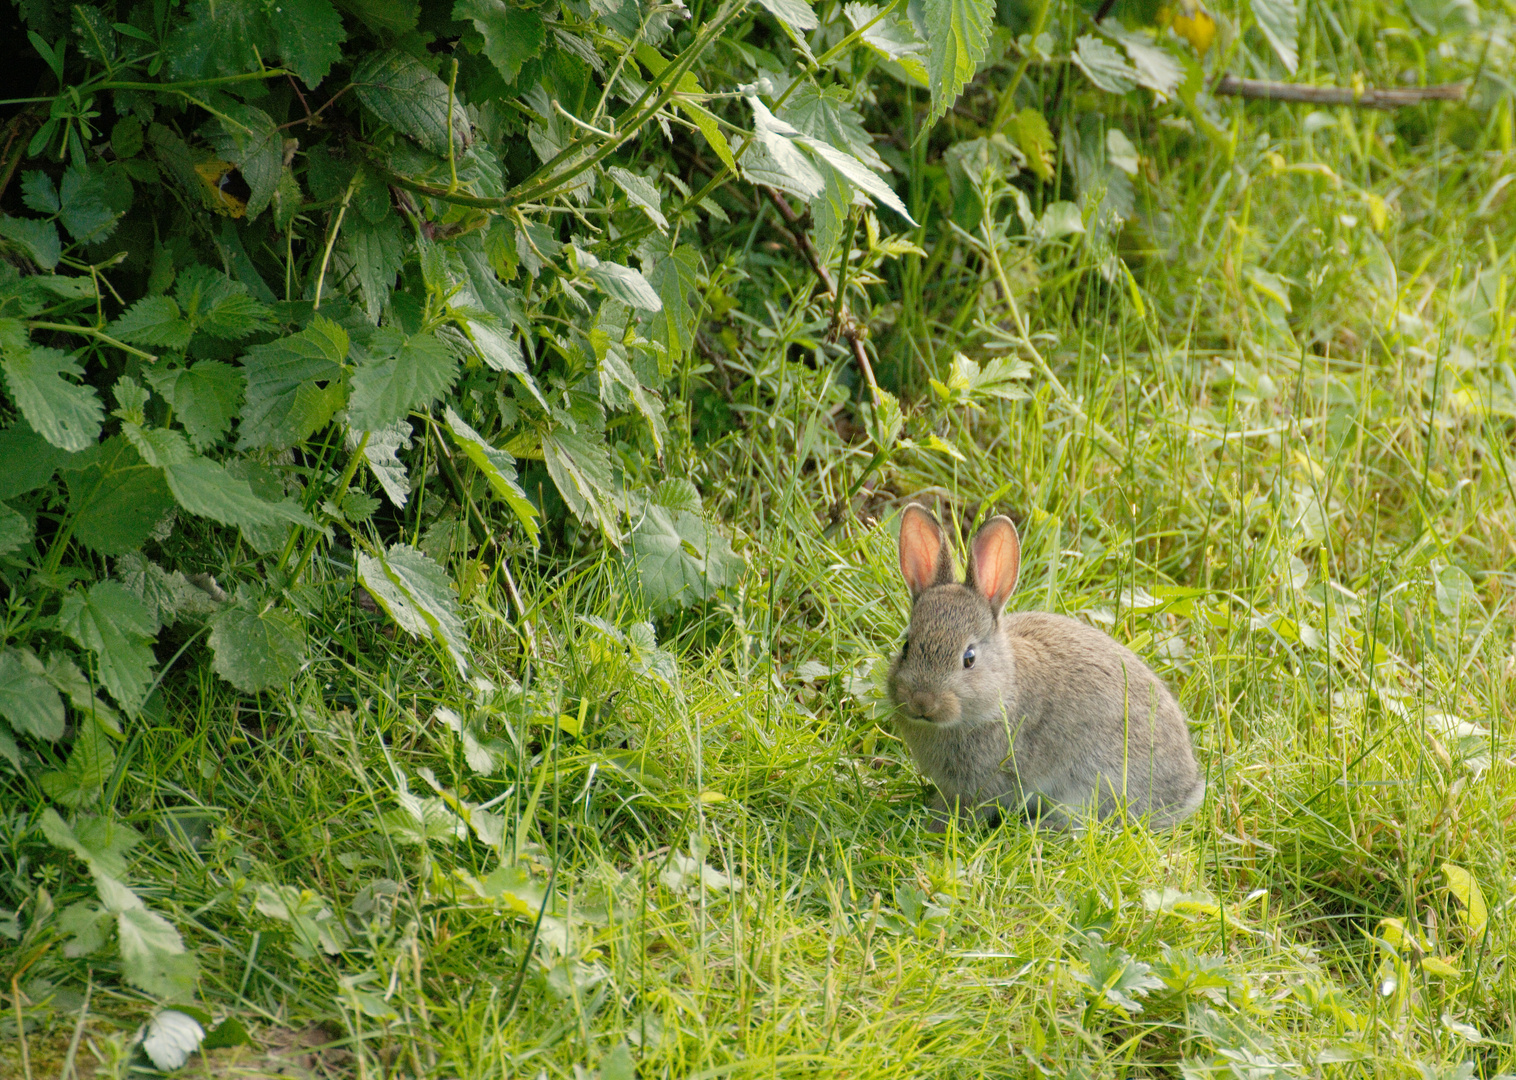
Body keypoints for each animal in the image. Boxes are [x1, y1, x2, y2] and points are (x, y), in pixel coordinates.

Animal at [885, 500, 1200, 831]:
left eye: (968, 658)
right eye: (906, 646)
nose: (922, 701)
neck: (1003, 690)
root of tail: (1187, 791)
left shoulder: (990, 779)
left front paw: (935, 825)